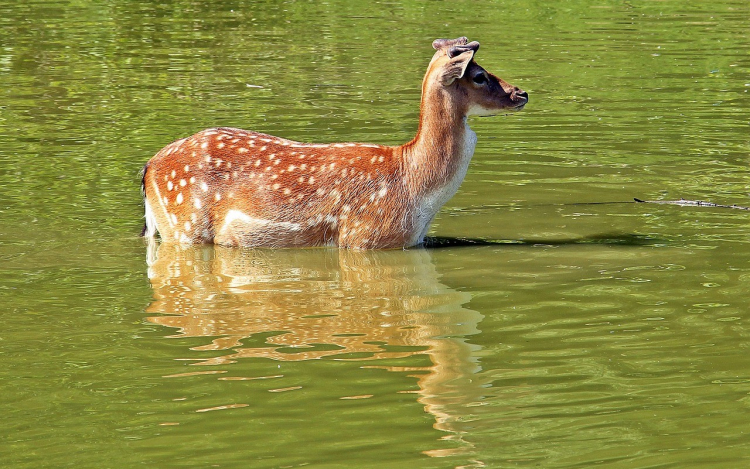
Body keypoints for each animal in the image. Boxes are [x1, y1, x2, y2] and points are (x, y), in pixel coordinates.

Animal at [141, 36, 528, 249]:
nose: (521, 93)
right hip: (185, 226)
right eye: (479, 76)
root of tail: (148, 168)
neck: (415, 188)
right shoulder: (363, 238)